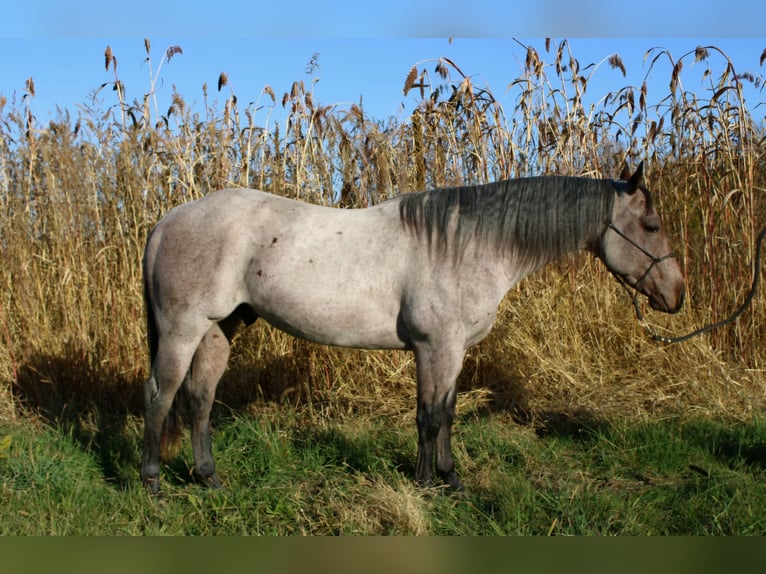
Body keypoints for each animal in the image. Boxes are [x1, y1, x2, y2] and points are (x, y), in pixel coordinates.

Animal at [141, 162, 688, 496]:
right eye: (652, 226)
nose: (677, 294)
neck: (466, 244)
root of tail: (166, 222)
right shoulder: (435, 347)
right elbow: (428, 416)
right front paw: (427, 483)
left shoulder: (452, 350)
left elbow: (446, 413)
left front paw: (450, 478)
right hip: (181, 330)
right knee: (160, 396)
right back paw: (151, 484)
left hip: (218, 330)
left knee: (199, 400)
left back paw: (209, 479)